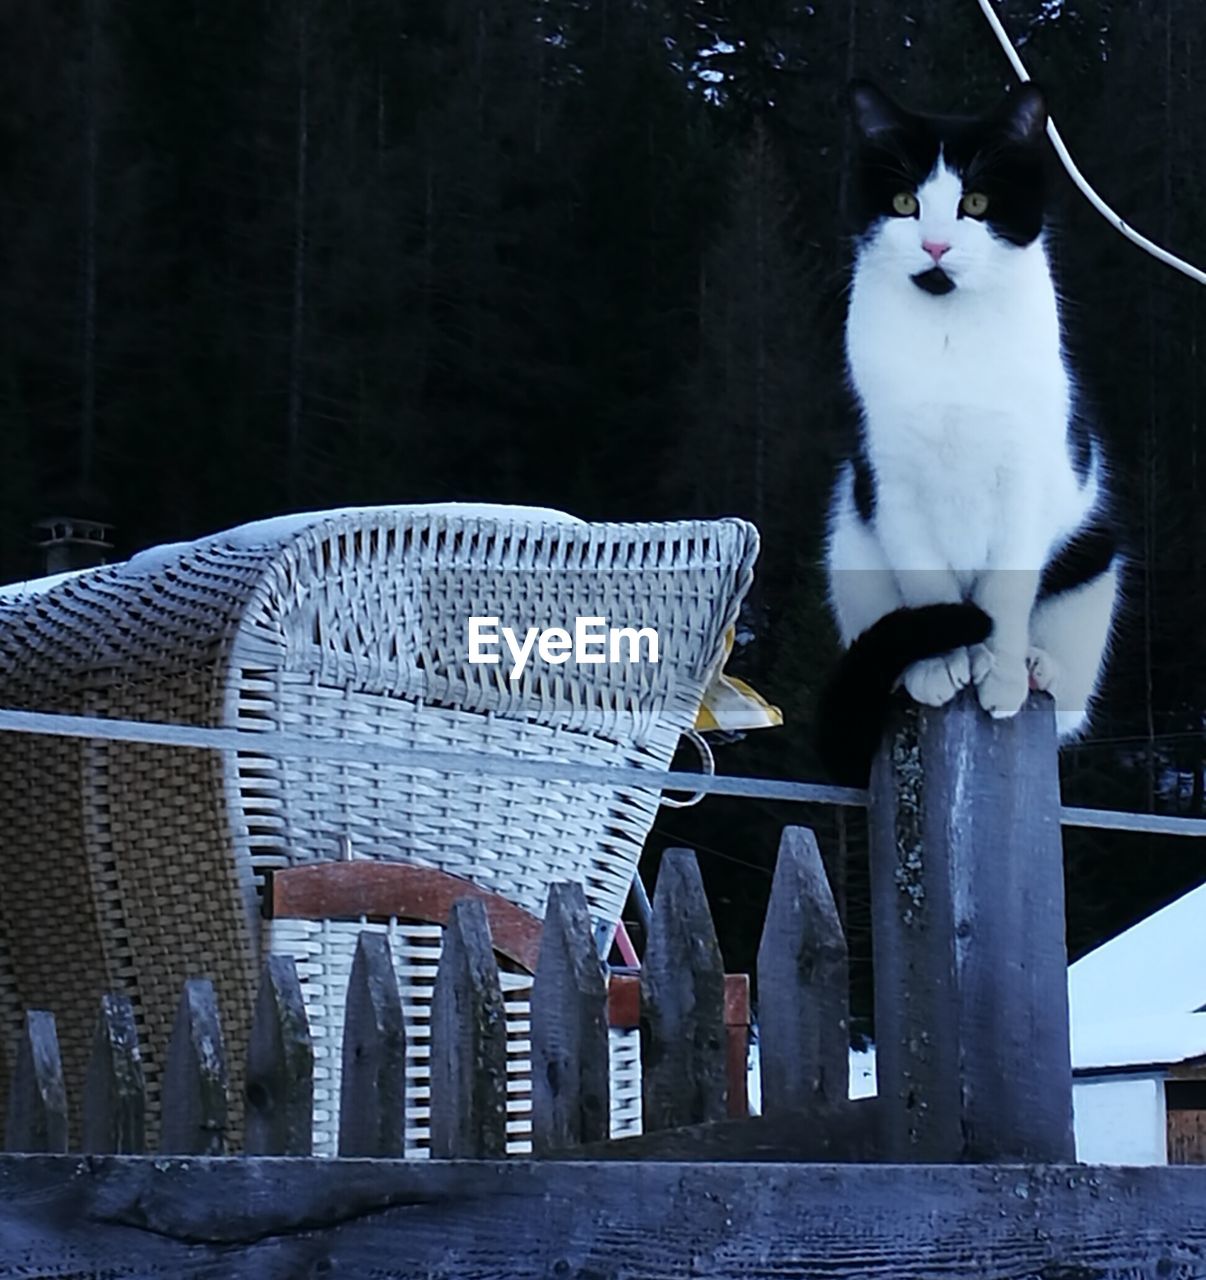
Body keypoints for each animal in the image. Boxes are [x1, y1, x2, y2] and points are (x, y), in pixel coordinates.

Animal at [819, 80, 1121, 783]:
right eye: (905, 203)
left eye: (976, 203)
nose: (935, 247)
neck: (948, 341)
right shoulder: (891, 480)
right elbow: (927, 577)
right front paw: (939, 665)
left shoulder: (1026, 478)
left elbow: (1007, 592)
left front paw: (1002, 673)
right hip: (849, 553)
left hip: (1095, 566)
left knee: (1069, 696)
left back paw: (1036, 667)